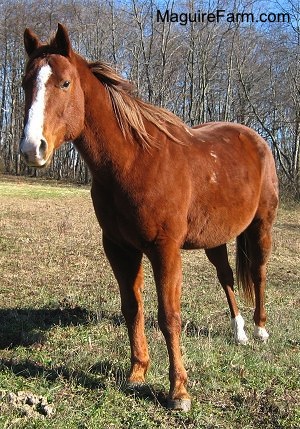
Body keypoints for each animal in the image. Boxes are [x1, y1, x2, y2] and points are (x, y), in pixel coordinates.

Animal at [19, 24, 278, 412]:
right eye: (25, 83)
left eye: (64, 83)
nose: (31, 148)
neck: (133, 161)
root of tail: (256, 139)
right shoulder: (119, 249)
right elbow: (132, 308)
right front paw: (137, 373)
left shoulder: (164, 249)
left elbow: (169, 317)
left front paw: (179, 392)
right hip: (214, 239)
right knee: (227, 278)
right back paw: (240, 331)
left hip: (262, 225)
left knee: (258, 273)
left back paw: (261, 330)